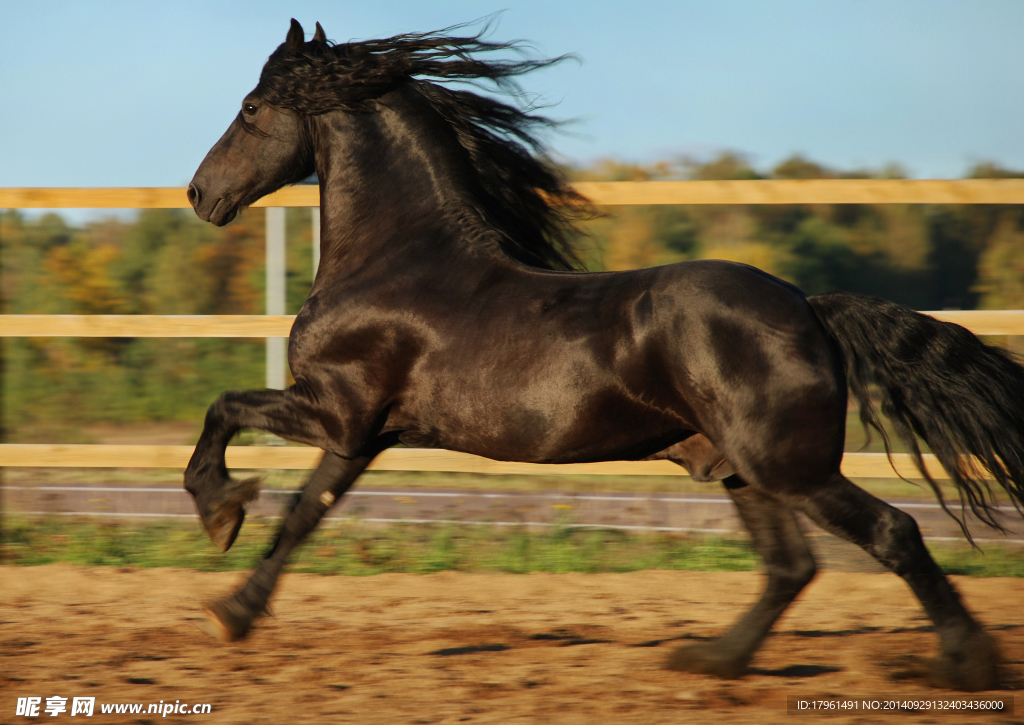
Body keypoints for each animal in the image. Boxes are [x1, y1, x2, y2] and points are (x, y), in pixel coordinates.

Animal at [184, 21, 1024, 692]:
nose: (198, 194)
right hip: (741, 466)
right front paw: (232, 610)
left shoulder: (335, 409)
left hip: (790, 465)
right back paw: (711, 660)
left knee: (892, 533)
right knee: (791, 566)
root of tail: (809, 307)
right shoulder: (361, 435)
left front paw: (222, 512)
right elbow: (303, 514)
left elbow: (225, 413)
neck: (397, 260)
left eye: (252, 107)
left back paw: (965, 665)